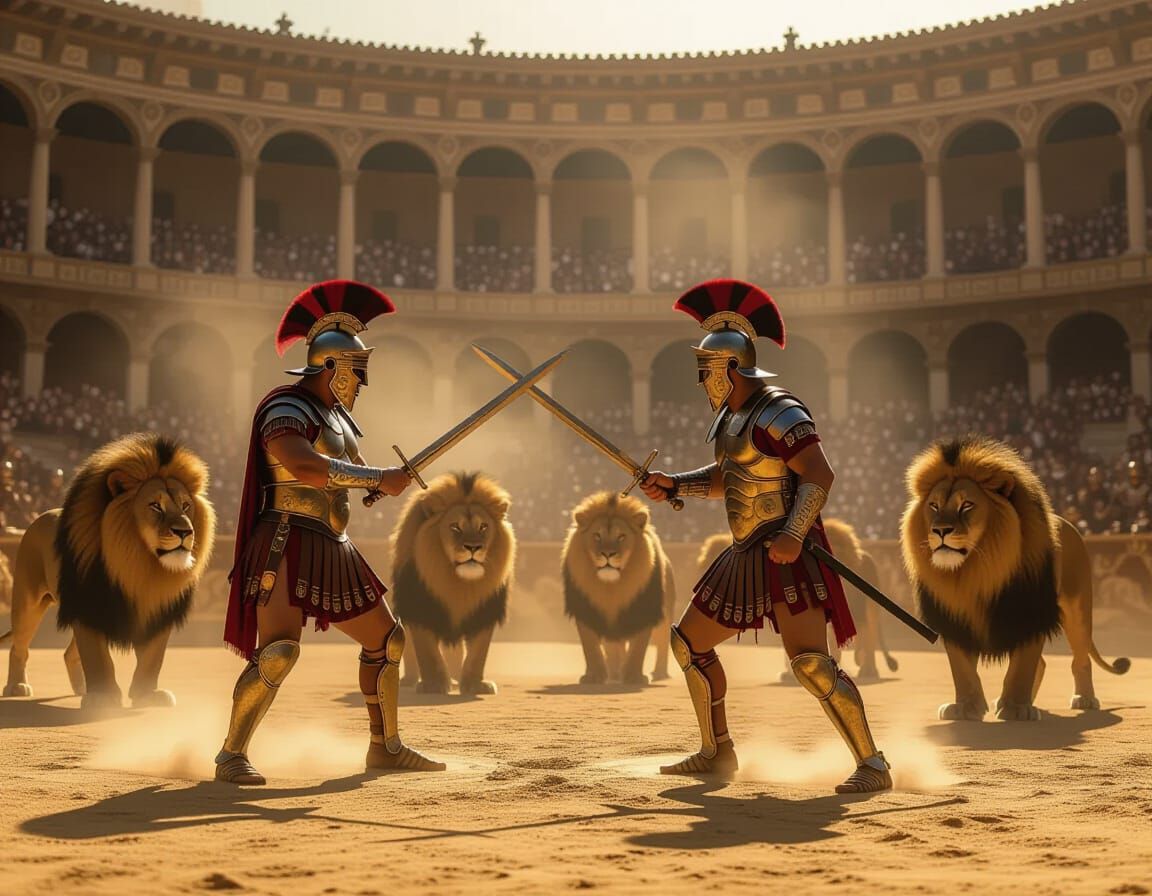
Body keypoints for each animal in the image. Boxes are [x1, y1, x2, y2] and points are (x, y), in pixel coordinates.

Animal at [1, 433, 216, 708]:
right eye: (155, 506)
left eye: (186, 506)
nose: (186, 531)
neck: (141, 567)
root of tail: (39, 517)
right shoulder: (91, 607)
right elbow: (97, 656)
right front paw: (103, 697)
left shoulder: (159, 608)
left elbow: (152, 658)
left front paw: (146, 694)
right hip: (30, 601)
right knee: (19, 646)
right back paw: (16, 686)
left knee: (69, 653)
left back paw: (81, 687)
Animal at [390, 471, 515, 696]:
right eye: (455, 526)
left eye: (483, 526)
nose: (473, 547)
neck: (458, 585)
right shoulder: (419, 609)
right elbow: (426, 651)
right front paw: (434, 684)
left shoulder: (485, 610)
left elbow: (478, 653)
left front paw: (474, 684)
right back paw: (409, 680)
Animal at [562, 492, 676, 686]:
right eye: (597, 535)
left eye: (621, 536)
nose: (608, 554)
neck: (612, 588)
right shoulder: (586, 611)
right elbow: (590, 647)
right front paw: (594, 676)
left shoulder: (644, 611)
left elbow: (638, 648)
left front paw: (633, 677)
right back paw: (614, 674)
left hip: (664, 616)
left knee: (662, 642)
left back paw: (659, 673)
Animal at [901, 436, 1129, 721]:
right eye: (934, 506)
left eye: (967, 505)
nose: (939, 530)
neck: (973, 572)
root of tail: (1068, 523)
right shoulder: (952, 615)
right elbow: (962, 668)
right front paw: (966, 707)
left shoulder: (1029, 611)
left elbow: (1023, 665)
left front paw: (1016, 707)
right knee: (1044, 663)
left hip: (1077, 609)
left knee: (1080, 658)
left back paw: (1084, 698)